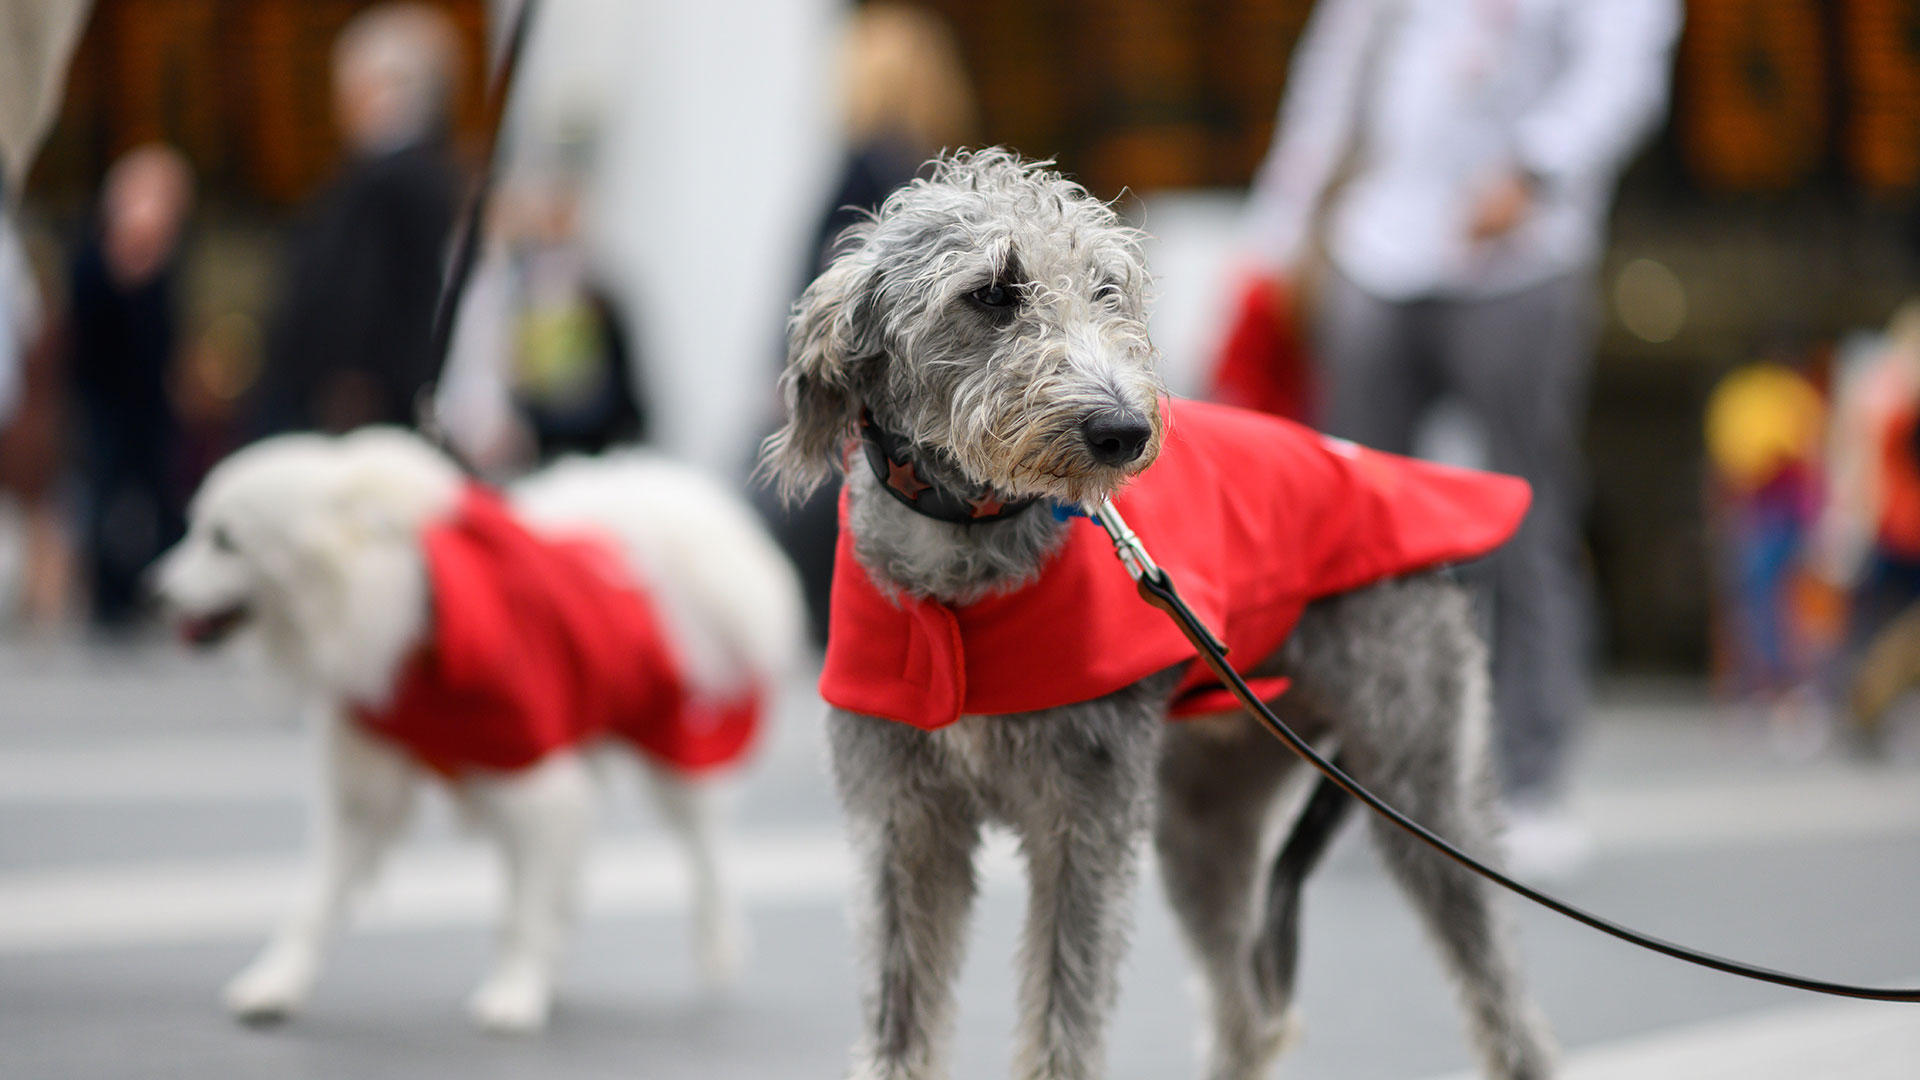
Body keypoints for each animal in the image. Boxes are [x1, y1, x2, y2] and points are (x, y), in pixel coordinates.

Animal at [153, 426, 806, 1022]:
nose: (152, 591)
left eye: (225, 540)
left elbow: (524, 909)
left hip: (669, 752)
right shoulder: (365, 793)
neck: (407, 624)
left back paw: (715, 943)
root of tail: (641, 524)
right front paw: (277, 984)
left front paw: (515, 996)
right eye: (197, 529)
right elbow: (312, 903)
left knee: (704, 851)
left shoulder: (533, 776)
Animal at [756, 148, 1551, 1076]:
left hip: (1424, 788)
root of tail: (1405, 477)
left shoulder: (1084, 820)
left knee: (1507, 1008)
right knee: (1248, 1017)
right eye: (991, 292)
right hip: (1206, 810)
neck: (966, 545)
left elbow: (1063, 1018)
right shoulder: (901, 822)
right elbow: (900, 1021)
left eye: (1108, 289)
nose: (1124, 432)